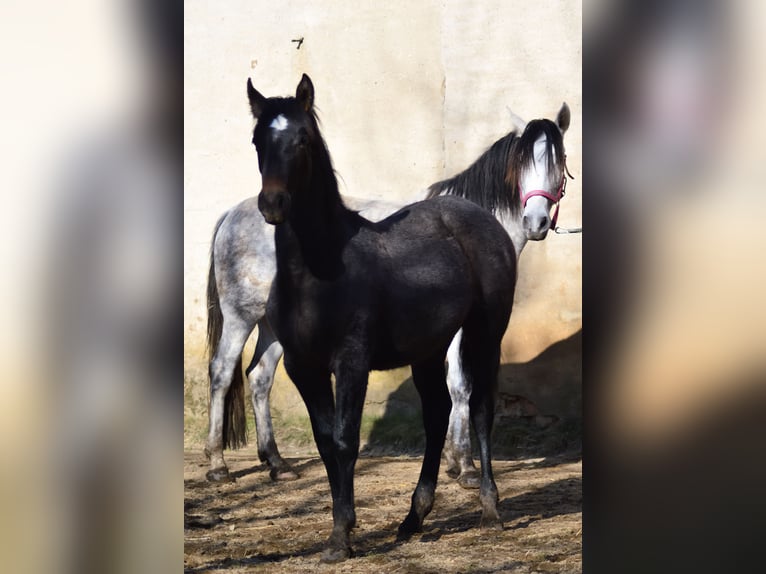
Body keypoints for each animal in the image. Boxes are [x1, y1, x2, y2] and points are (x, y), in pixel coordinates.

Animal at [204, 103, 568, 486]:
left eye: (559, 161)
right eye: (522, 162)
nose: (536, 222)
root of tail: (235, 213)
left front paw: (452, 461)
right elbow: (461, 386)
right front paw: (465, 466)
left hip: (276, 327)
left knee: (259, 377)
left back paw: (276, 462)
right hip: (240, 316)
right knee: (222, 372)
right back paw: (218, 465)